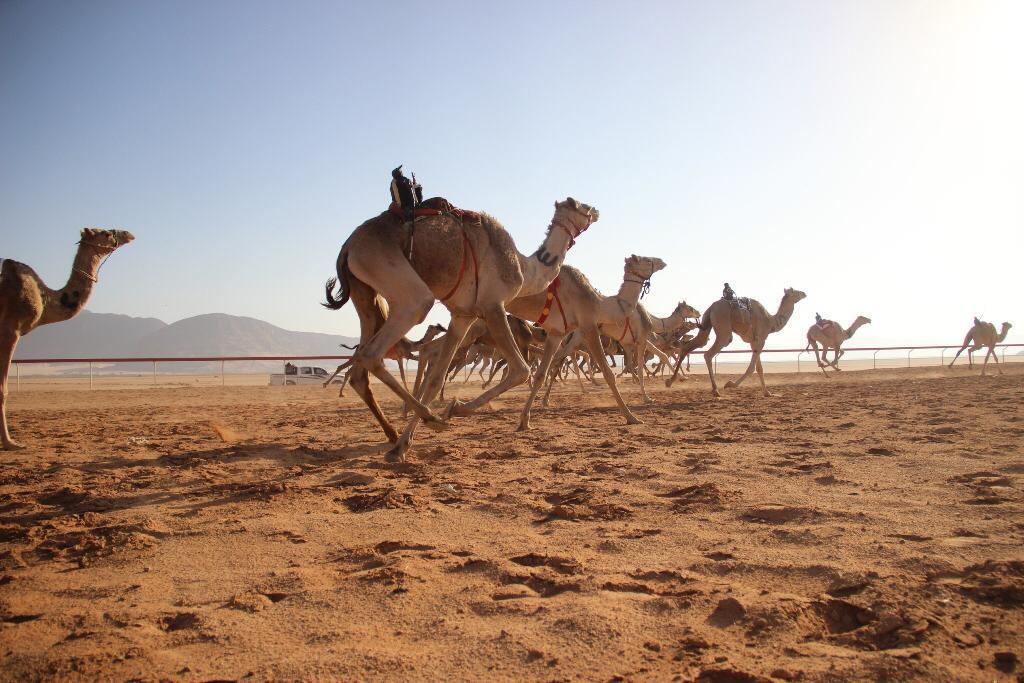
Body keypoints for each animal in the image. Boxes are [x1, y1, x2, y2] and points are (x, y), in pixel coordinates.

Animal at [0, 229, 134, 448]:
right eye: (105, 233)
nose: (128, 234)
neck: (44, 297)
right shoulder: (11, 329)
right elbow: (2, 389)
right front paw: (10, 443)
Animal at [323, 197, 598, 462]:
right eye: (583, 208)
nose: (596, 211)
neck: (522, 267)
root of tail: (348, 247)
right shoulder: (492, 305)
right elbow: (521, 370)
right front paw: (456, 408)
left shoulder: (463, 315)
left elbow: (436, 379)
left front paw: (402, 445)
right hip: (397, 281)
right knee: (377, 349)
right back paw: (432, 419)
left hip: (365, 293)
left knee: (360, 368)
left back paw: (398, 432)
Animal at [507, 253, 667, 430]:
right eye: (647, 260)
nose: (662, 261)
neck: (600, 303)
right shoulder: (590, 326)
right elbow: (609, 373)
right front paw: (632, 416)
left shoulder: (558, 332)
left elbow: (541, 373)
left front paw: (524, 420)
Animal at [667, 286, 811, 395]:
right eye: (796, 291)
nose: (804, 293)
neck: (770, 321)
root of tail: (712, 307)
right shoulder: (761, 340)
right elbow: (752, 368)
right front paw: (730, 384)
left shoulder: (754, 342)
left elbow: (759, 368)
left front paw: (767, 392)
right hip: (724, 330)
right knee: (708, 354)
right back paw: (715, 390)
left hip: (706, 325)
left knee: (690, 346)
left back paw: (670, 381)